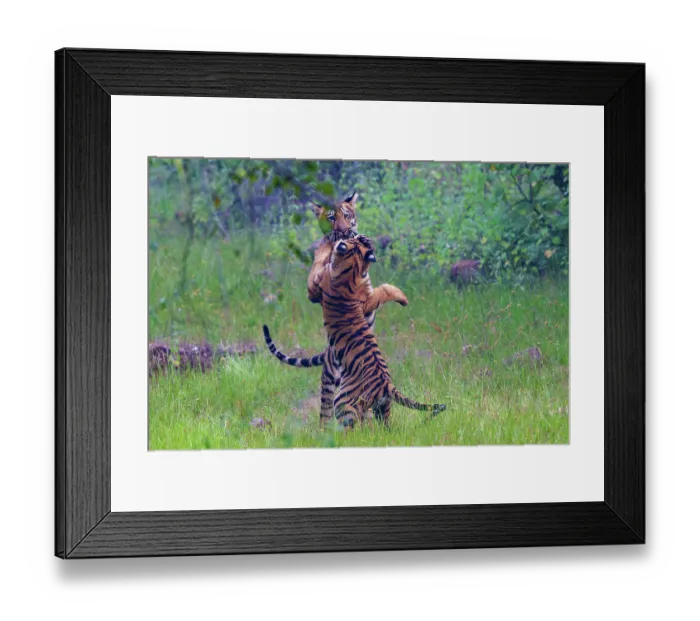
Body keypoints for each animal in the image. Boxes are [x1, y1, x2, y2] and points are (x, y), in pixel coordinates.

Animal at [267, 236, 446, 428]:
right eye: (359, 239)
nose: (366, 238)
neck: (351, 266)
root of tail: (386, 384)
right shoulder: (366, 299)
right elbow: (384, 291)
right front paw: (403, 298)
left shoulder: (314, 287)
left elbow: (319, 260)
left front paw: (325, 245)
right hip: (380, 408)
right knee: (379, 425)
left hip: (343, 401)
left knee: (350, 423)